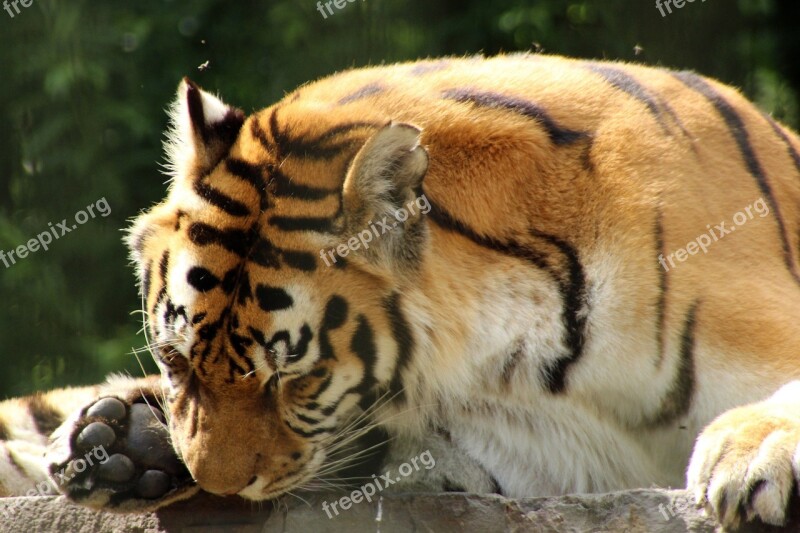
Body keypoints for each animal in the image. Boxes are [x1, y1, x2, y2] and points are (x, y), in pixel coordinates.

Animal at [1, 54, 800, 528]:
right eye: (173, 360)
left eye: (295, 379)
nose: (221, 487)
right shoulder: (527, 449)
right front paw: (134, 441)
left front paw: (750, 454)